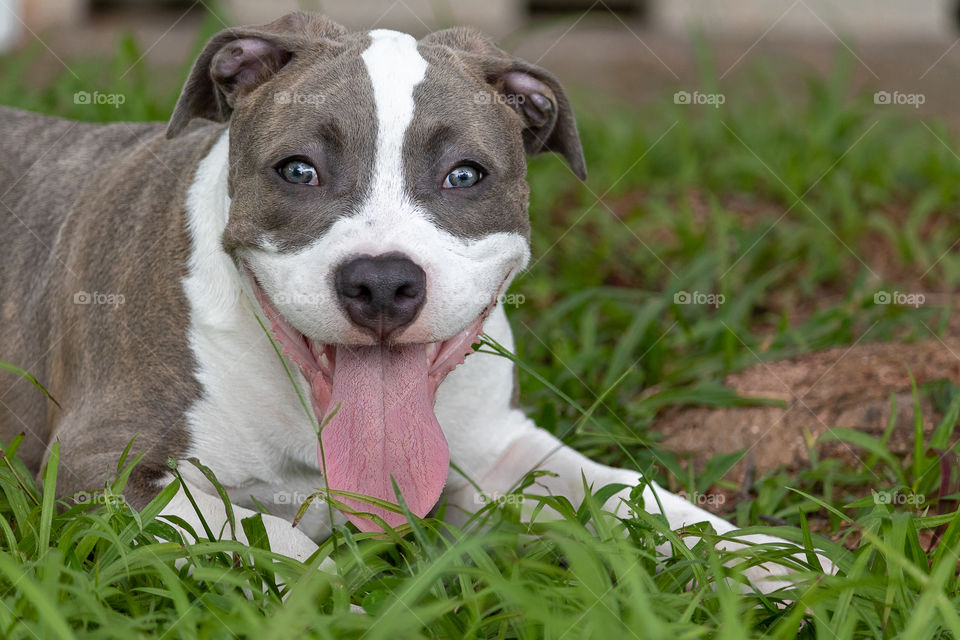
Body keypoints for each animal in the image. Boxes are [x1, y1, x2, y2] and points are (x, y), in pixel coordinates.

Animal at [0, 10, 808, 580]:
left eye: (465, 175)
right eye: (298, 171)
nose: (383, 281)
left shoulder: (501, 452)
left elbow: (637, 494)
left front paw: (776, 563)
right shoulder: (103, 469)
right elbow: (277, 542)